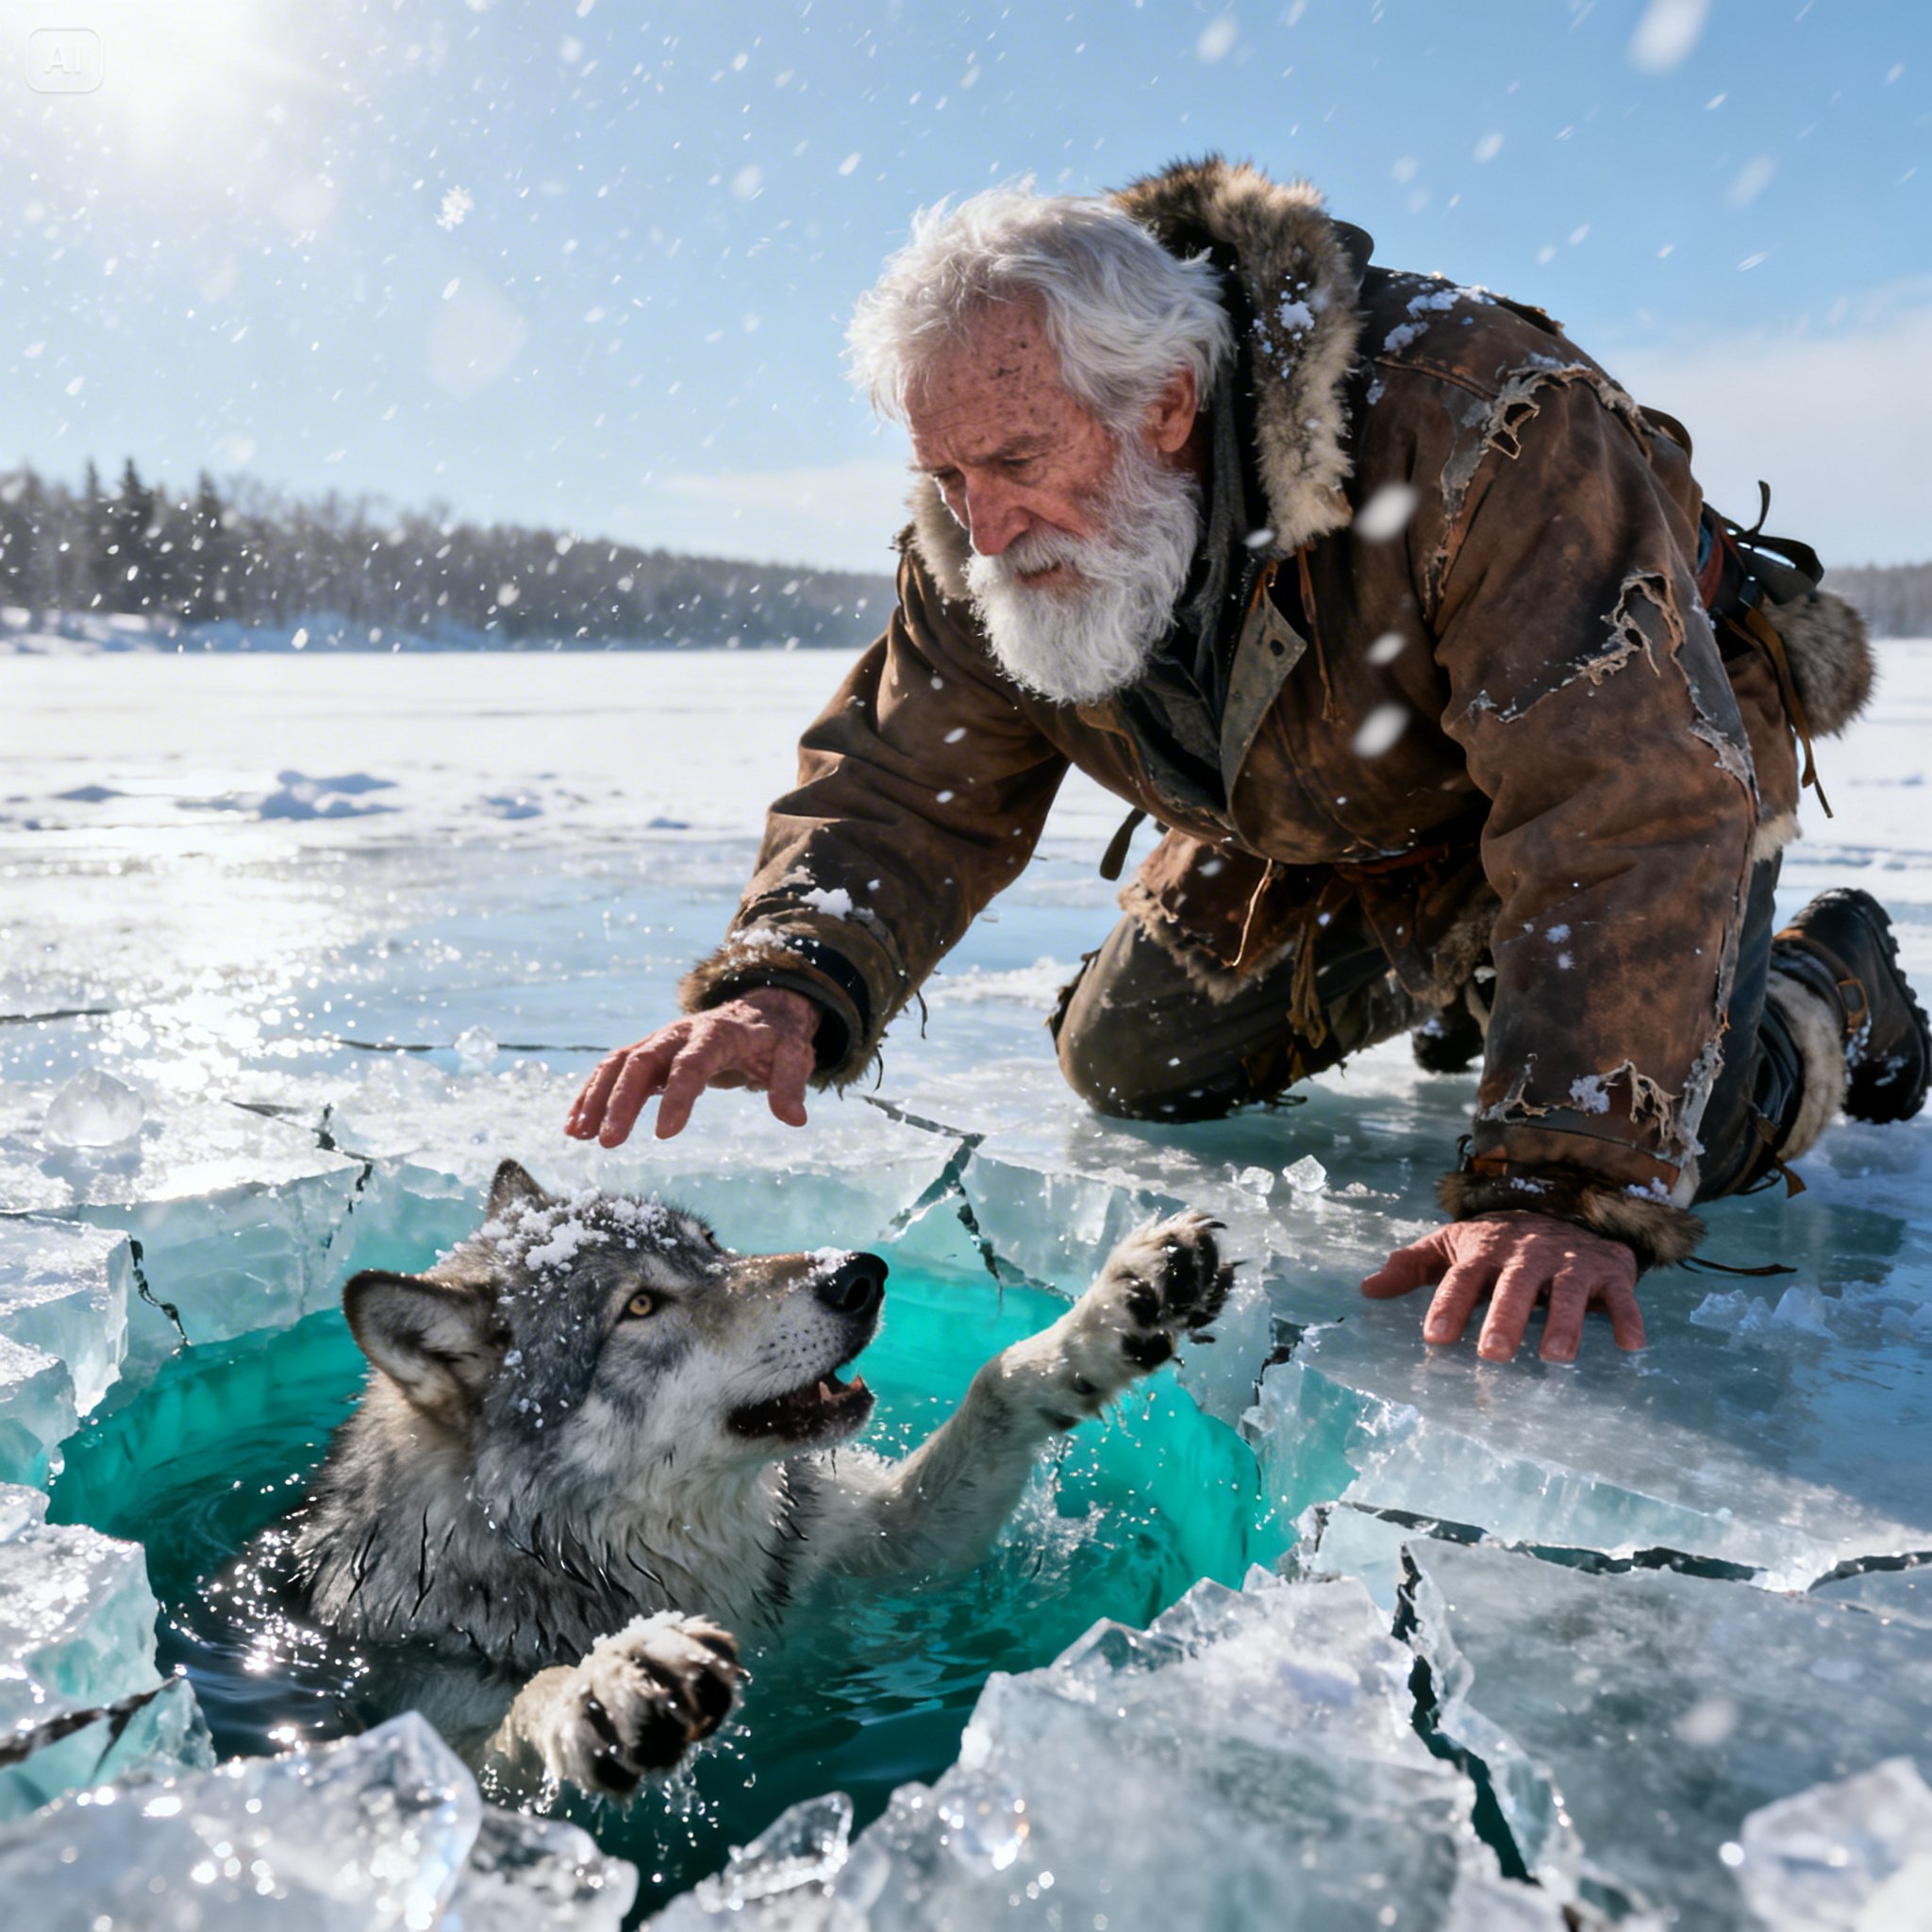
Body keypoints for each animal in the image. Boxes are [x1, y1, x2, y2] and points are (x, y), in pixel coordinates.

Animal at [278, 1158, 1233, 1798]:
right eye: (639, 1306)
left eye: (711, 1248)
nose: (858, 1274)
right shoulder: (433, 1744)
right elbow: (525, 1714)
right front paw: (605, 1684)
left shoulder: (876, 1560)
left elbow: (996, 1382)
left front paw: (1112, 1314)